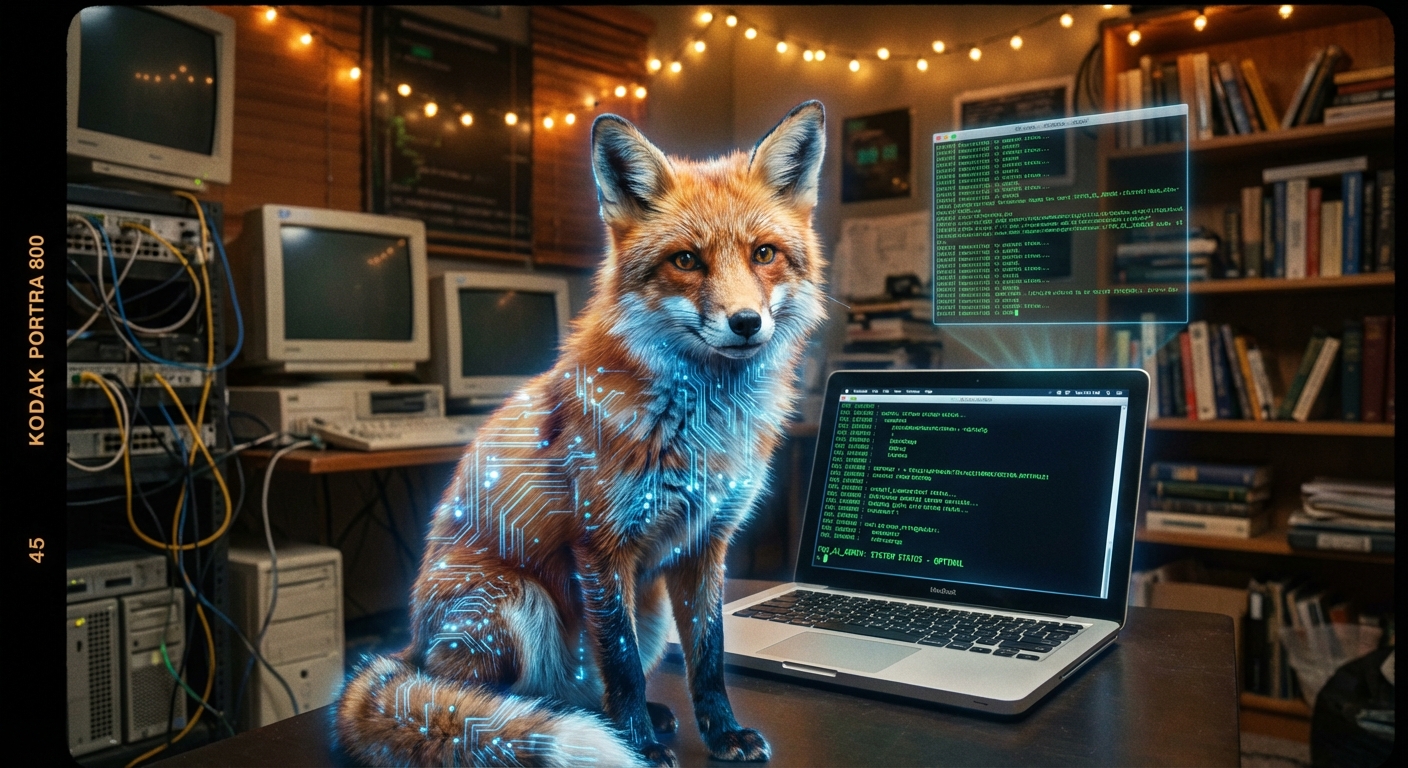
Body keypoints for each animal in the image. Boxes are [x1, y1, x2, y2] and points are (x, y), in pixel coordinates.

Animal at [334, 100, 829, 767]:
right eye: (686, 260)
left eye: (764, 253)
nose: (746, 322)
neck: (703, 426)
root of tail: (408, 648)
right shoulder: (600, 546)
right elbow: (622, 665)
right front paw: (639, 748)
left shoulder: (705, 546)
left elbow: (709, 658)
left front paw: (722, 734)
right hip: (516, 605)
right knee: (485, 705)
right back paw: (552, 725)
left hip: (651, 610)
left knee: (582, 691)